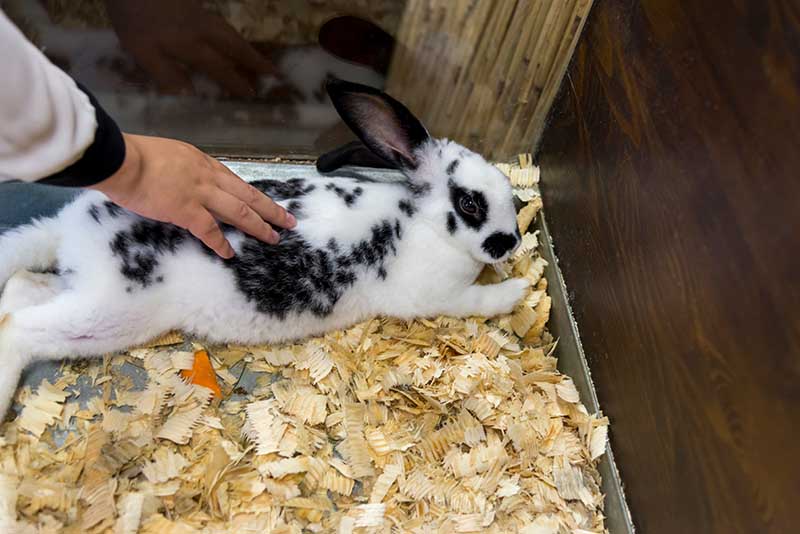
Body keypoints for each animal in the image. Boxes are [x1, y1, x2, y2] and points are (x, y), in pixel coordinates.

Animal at [0, 79, 528, 416]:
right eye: (469, 203)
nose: (512, 241)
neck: (420, 222)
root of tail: (72, 232)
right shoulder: (437, 297)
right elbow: (478, 301)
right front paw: (517, 291)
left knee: (20, 290)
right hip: (107, 316)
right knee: (19, 329)